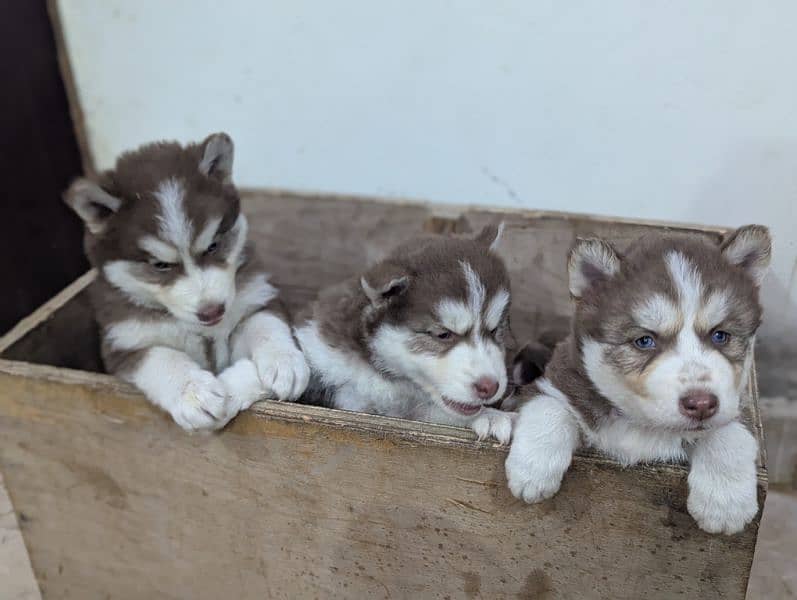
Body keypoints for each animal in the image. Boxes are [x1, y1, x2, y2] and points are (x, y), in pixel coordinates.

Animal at [63, 132, 308, 432]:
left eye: (213, 246)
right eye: (160, 265)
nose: (212, 311)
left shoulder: (255, 298)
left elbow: (266, 325)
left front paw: (283, 360)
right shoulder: (124, 344)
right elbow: (163, 358)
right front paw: (193, 393)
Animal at [504, 225, 772, 536]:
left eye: (720, 335)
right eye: (644, 340)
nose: (702, 404)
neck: (644, 426)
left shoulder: (738, 403)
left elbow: (729, 432)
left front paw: (725, 502)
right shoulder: (556, 380)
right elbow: (549, 407)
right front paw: (532, 469)